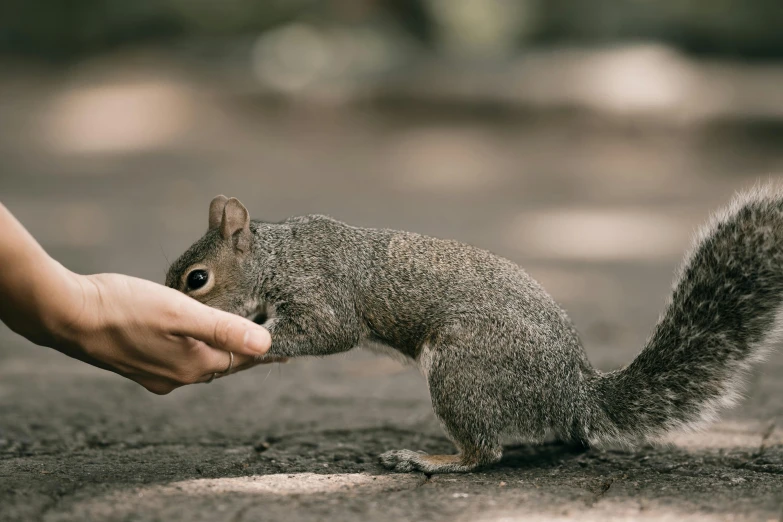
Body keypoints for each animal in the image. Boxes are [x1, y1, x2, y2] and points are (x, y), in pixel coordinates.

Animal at [165, 186, 783, 472]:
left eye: (197, 279)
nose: (172, 298)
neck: (276, 255)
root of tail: (575, 391)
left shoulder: (324, 294)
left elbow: (327, 331)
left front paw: (260, 344)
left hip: (463, 370)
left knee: (485, 454)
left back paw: (431, 461)